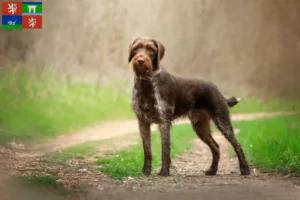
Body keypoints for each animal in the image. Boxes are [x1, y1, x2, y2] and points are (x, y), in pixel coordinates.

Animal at [127, 36, 250, 177]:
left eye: (151, 49)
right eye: (136, 48)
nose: (140, 60)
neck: (146, 83)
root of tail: (217, 90)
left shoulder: (164, 121)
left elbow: (165, 149)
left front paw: (164, 172)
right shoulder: (142, 122)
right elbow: (147, 150)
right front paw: (146, 171)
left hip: (222, 120)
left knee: (237, 144)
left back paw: (244, 169)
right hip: (200, 126)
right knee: (215, 146)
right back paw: (212, 170)